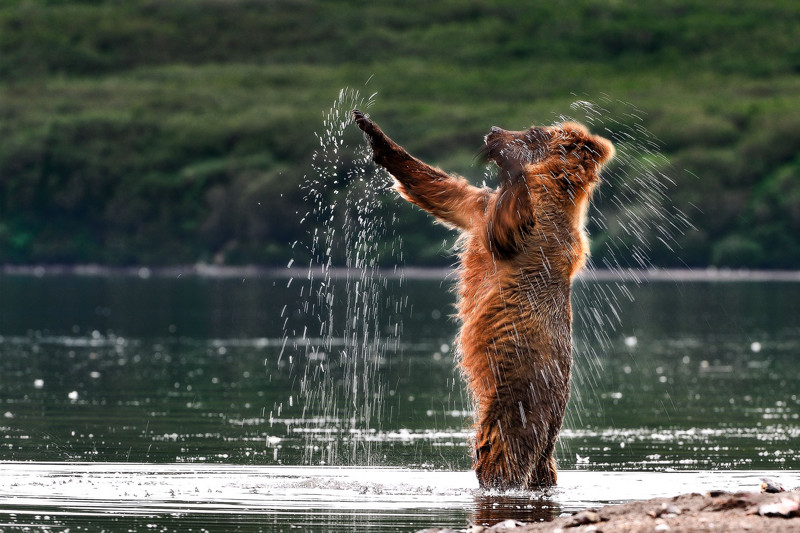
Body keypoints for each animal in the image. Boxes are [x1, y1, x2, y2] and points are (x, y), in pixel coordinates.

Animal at [354, 109, 616, 490]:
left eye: (534, 130)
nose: (493, 130)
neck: (553, 184)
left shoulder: (540, 230)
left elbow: (510, 227)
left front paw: (509, 161)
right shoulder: (481, 205)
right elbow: (443, 191)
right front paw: (374, 134)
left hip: (520, 391)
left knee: (502, 448)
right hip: (544, 423)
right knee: (542, 466)